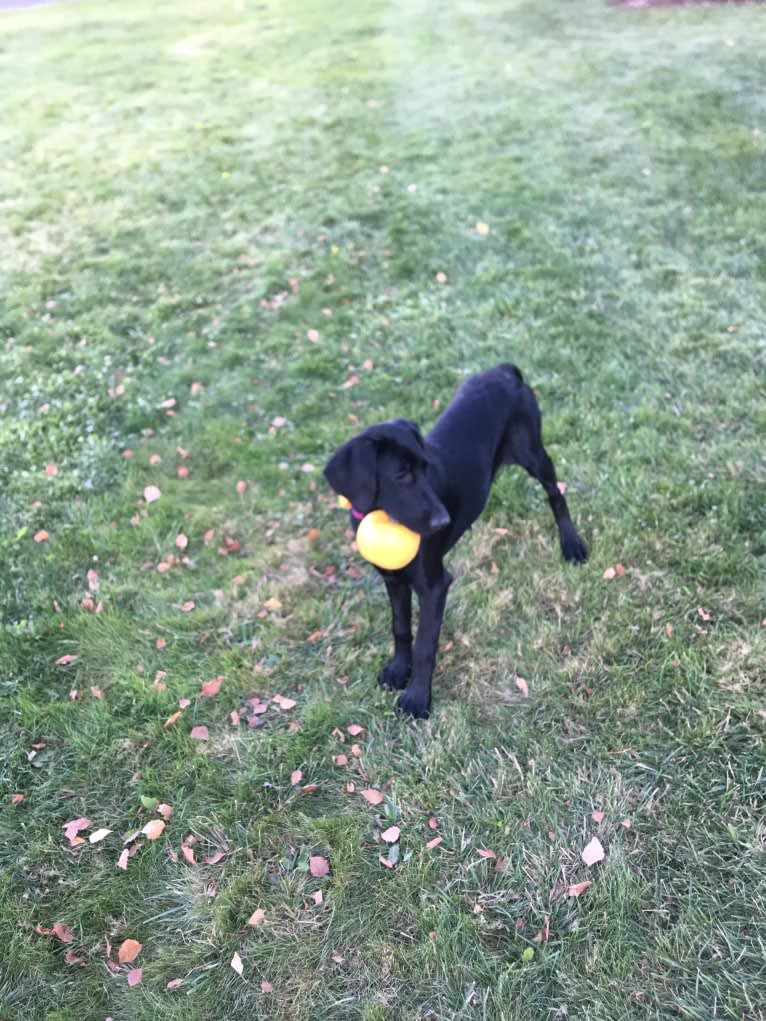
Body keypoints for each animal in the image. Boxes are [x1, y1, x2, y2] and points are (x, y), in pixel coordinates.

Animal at [324, 365, 588, 718]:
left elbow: (425, 644)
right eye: (401, 474)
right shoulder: (394, 580)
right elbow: (401, 628)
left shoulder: (435, 585)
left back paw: (572, 544)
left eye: (425, 469)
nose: (443, 522)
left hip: (532, 451)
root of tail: (504, 370)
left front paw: (417, 698)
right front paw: (398, 670)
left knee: (556, 494)